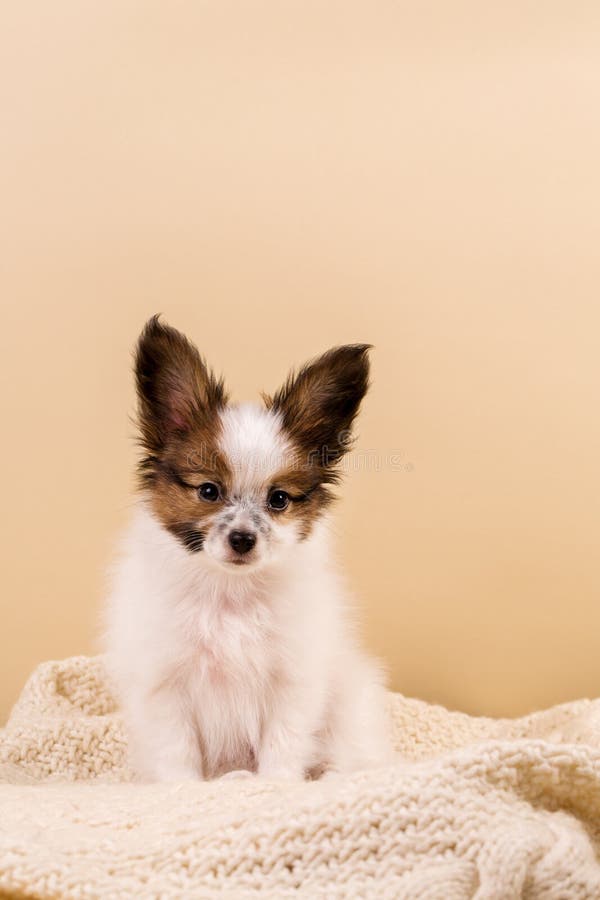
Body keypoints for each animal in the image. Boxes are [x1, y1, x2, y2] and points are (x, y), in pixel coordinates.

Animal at [103, 316, 392, 780]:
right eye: (208, 491)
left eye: (279, 500)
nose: (242, 539)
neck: (230, 596)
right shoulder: (165, 685)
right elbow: (176, 752)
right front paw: (182, 788)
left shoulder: (292, 682)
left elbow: (283, 744)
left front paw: (276, 786)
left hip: (352, 711)